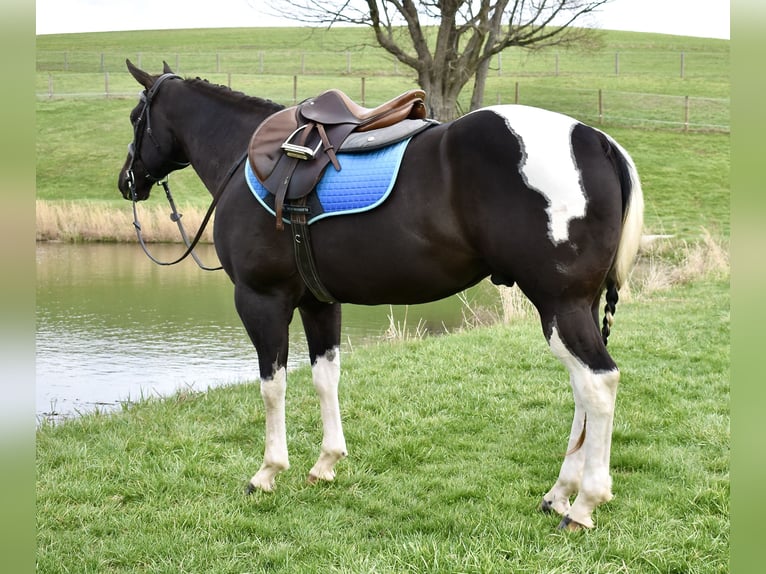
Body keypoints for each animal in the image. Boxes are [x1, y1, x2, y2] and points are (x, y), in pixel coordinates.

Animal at [117, 60, 643, 530]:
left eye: (135, 117)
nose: (127, 182)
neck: (246, 158)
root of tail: (596, 140)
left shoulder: (260, 300)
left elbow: (273, 386)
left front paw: (267, 473)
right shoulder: (319, 303)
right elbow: (325, 377)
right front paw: (325, 463)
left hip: (559, 306)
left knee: (598, 384)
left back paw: (584, 505)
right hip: (574, 307)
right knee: (582, 389)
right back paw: (559, 495)